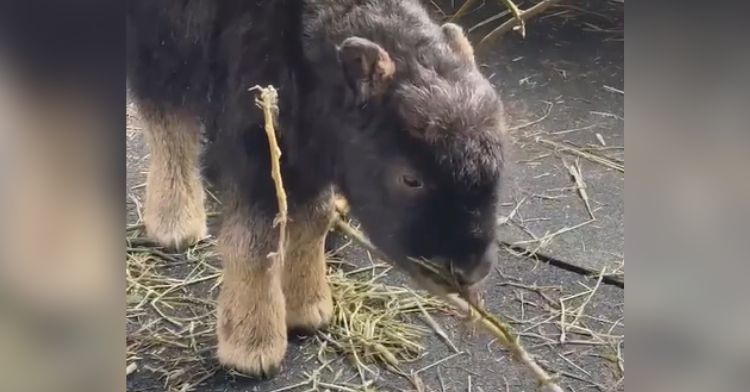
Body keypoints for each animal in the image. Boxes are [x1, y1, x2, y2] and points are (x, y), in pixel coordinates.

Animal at [128, 0, 506, 376]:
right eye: (411, 178)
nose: (470, 270)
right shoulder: (261, 145)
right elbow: (256, 241)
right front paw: (252, 346)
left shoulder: (312, 150)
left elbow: (314, 220)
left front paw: (309, 307)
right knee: (167, 121)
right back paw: (175, 222)